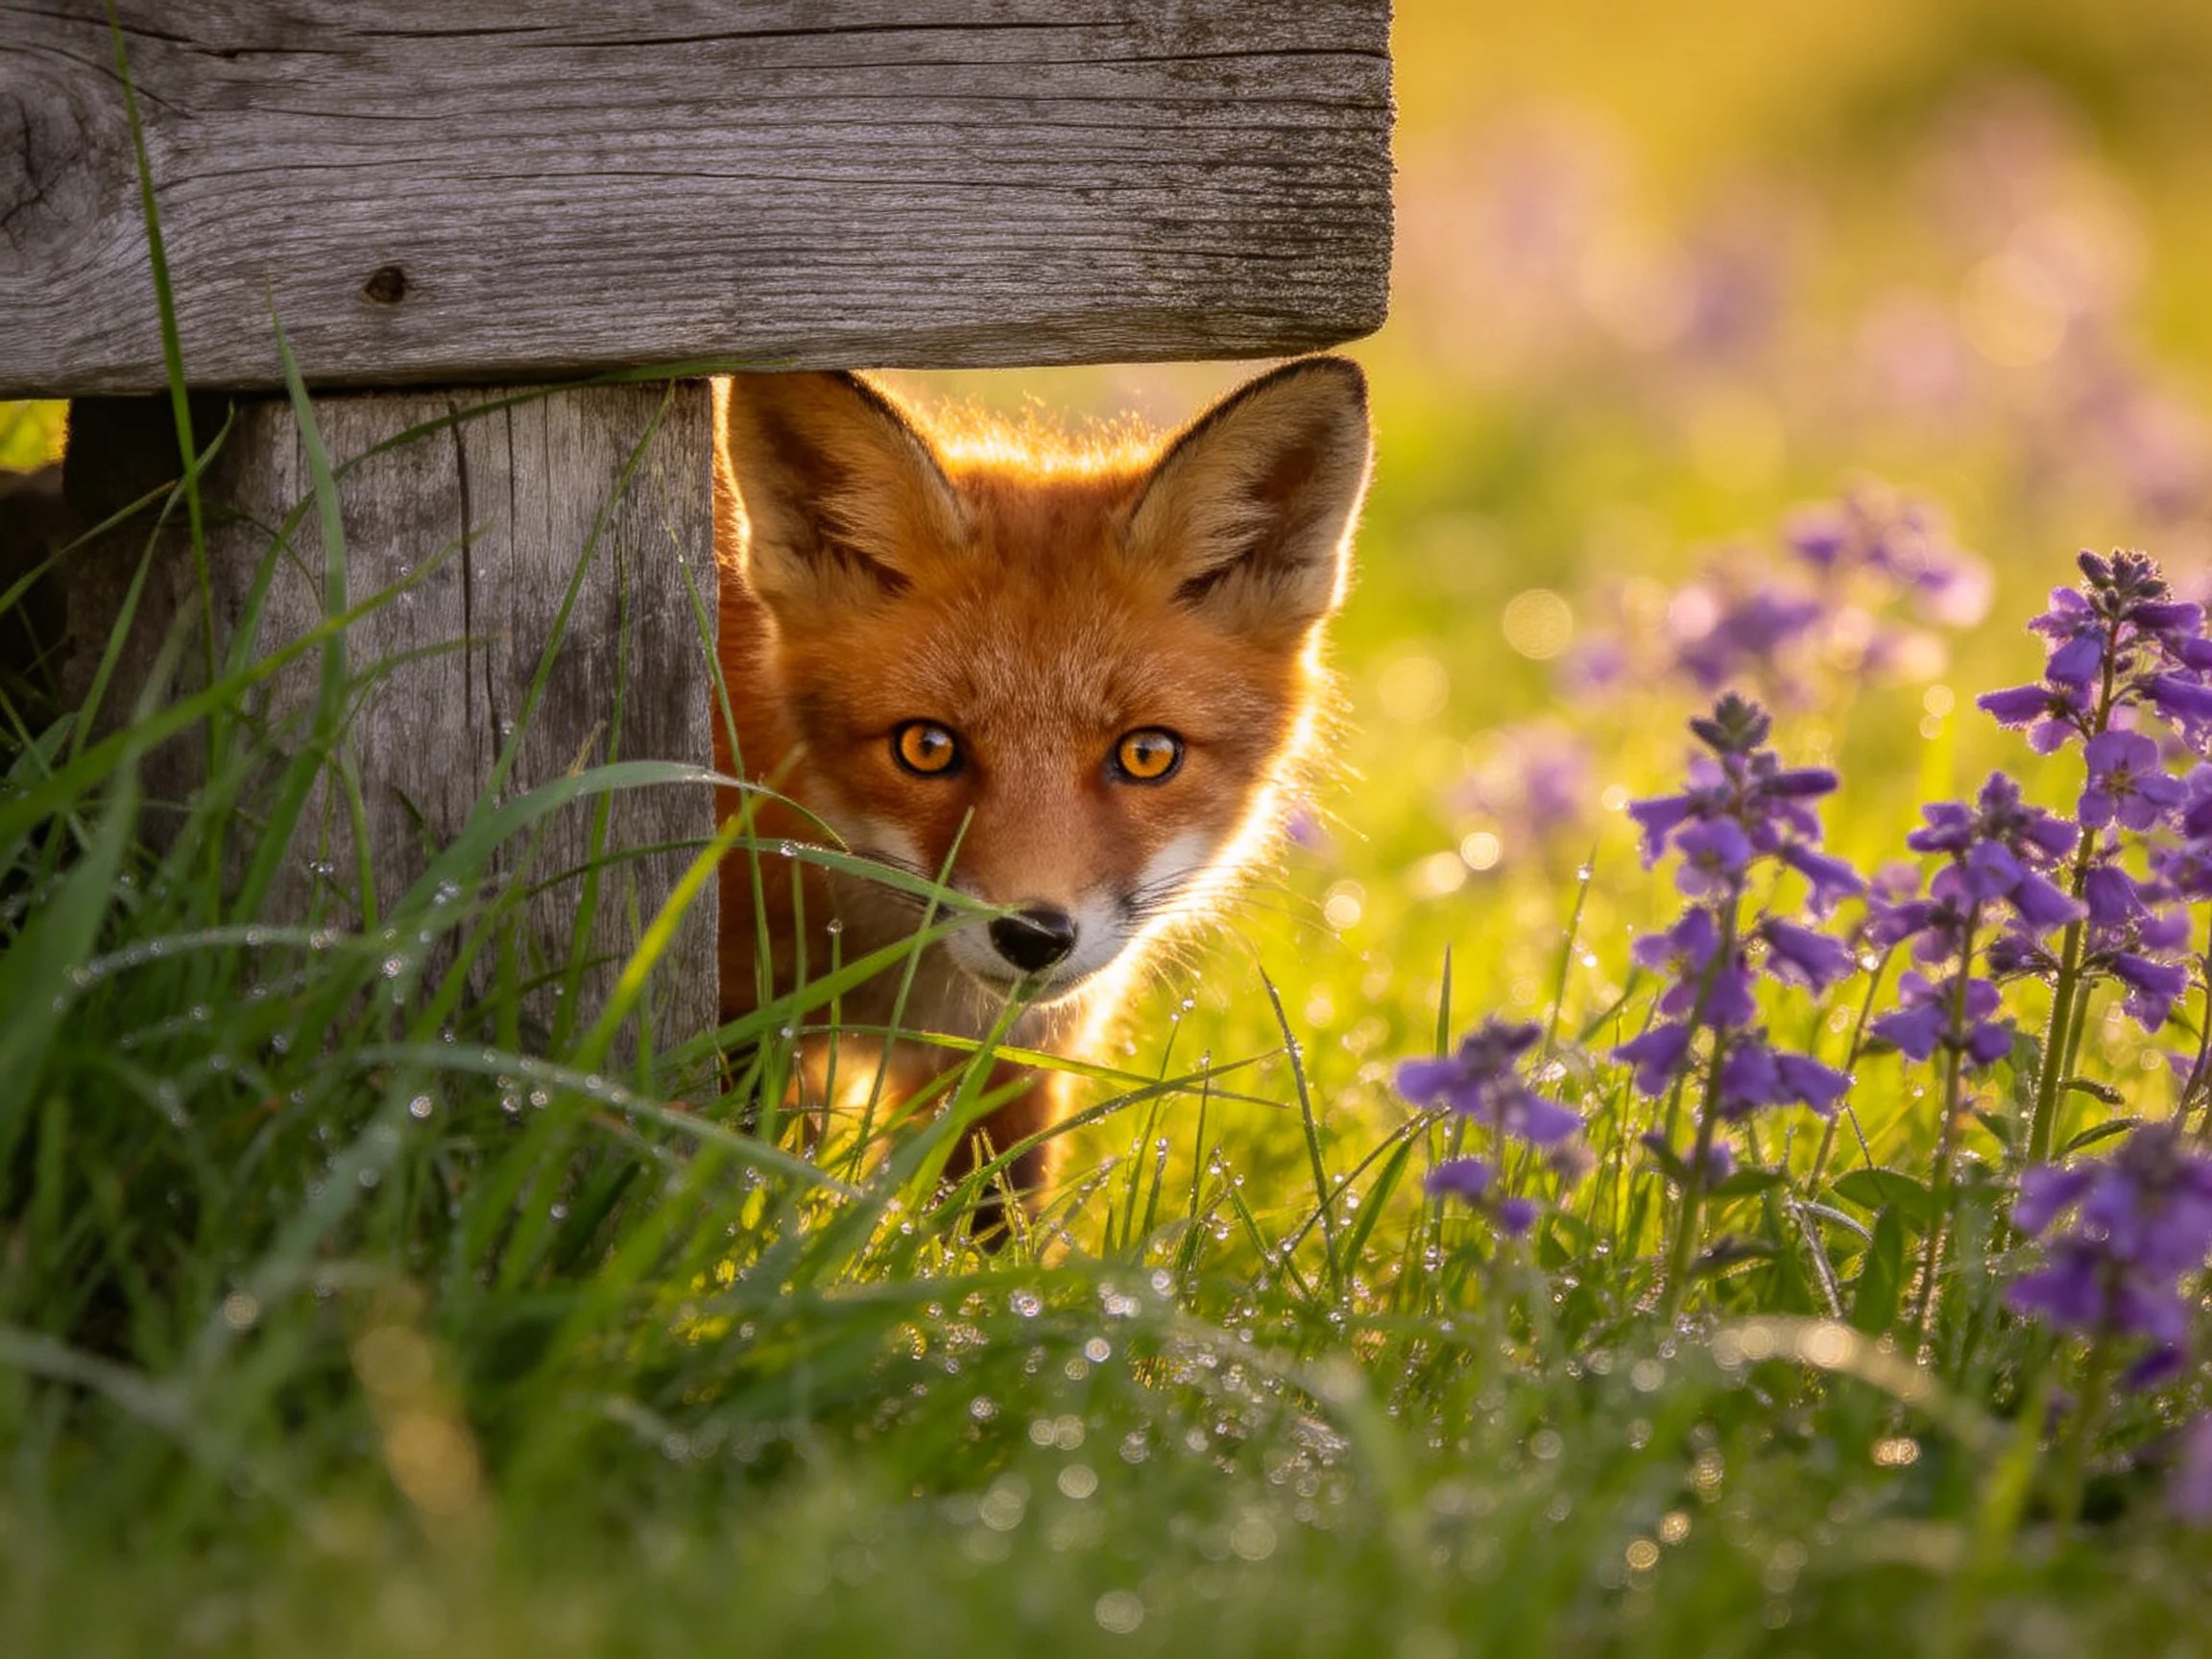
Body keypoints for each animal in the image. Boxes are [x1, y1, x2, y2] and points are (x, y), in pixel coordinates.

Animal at [711, 356, 1373, 1222]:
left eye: (1148, 754)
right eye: (926, 748)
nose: (1032, 937)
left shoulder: (1014, 1064)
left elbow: (994, 1226)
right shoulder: (731, 1023)